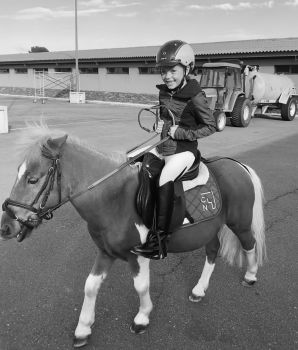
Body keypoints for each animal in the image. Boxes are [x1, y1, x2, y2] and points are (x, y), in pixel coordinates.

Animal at [0, 126, 266, 348]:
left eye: (33, 179)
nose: (5, 227)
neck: (114, 198)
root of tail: (238, 165)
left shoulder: (138, 255)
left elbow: (141, 286)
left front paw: (142, 318)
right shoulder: (106, 252)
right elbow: (90, 286)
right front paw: (83, 328)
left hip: (240, 223)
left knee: (249, 244)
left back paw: (251, 276)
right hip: (210, 228)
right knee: (212, 251)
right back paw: (199, 290)